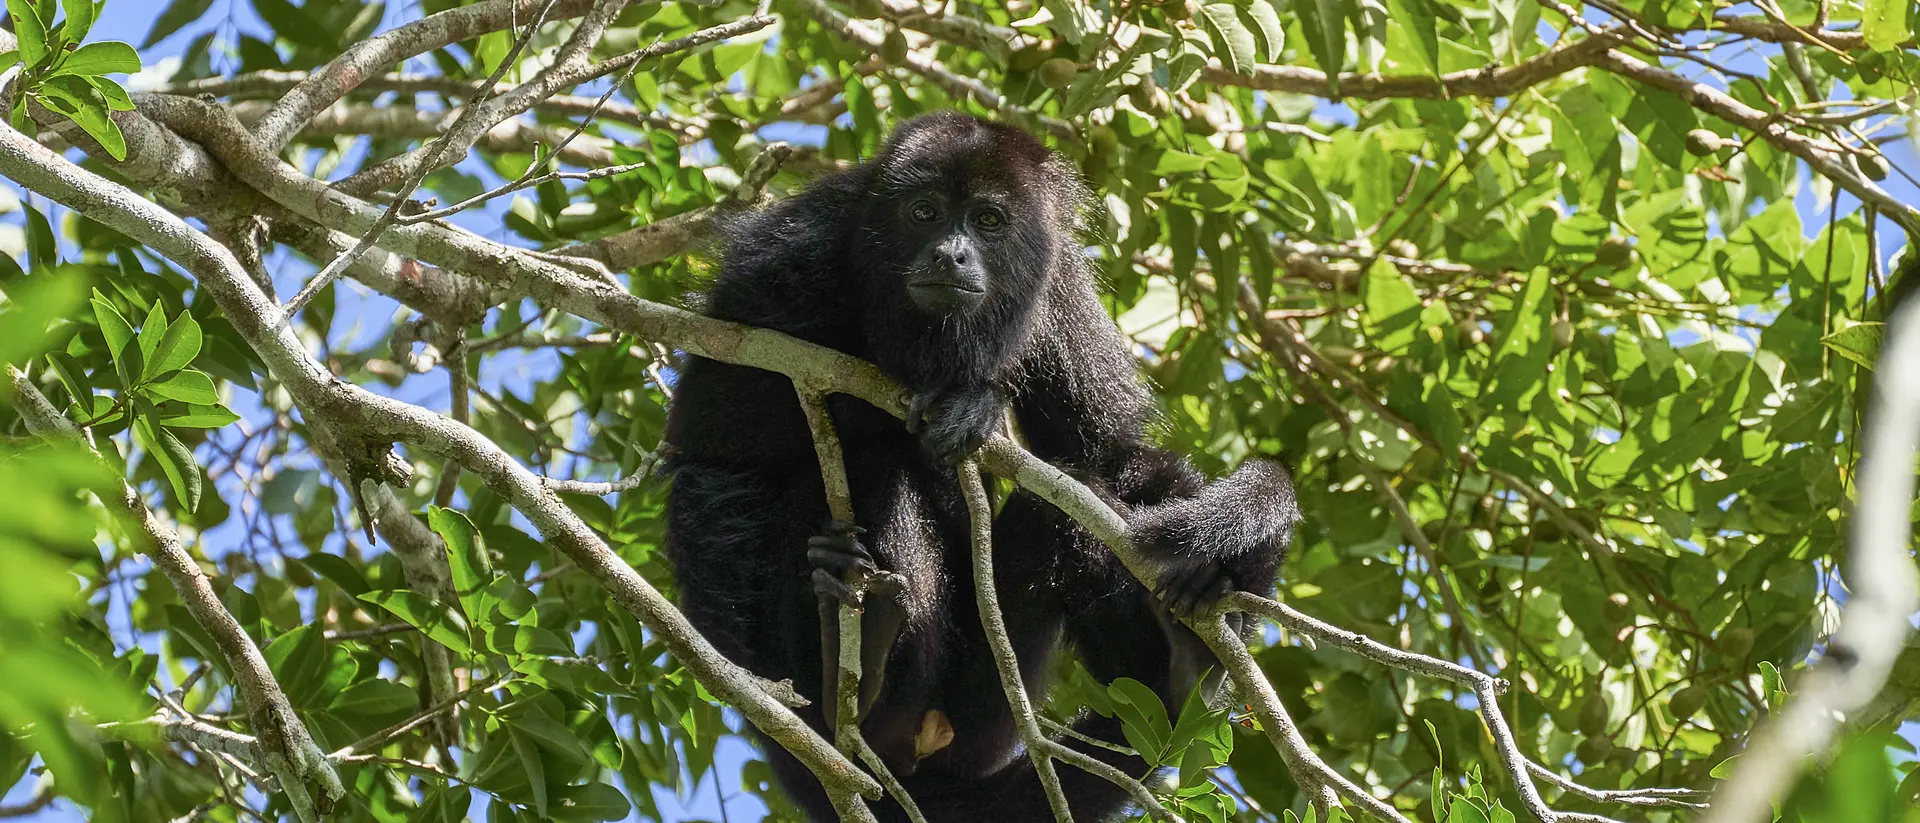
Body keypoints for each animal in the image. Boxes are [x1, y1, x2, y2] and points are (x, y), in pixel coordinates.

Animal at [662, 111, 1300, 822]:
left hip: (985, 711)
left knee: (1074, 504)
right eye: (925, 213)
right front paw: (968, 399)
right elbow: (712, 428)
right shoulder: (788, 257)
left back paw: (1189, 659)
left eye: (989, 221)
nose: (951, 254)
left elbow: (1111, 455)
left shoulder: (1059, 288)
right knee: (833, 473)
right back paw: (852, 660)